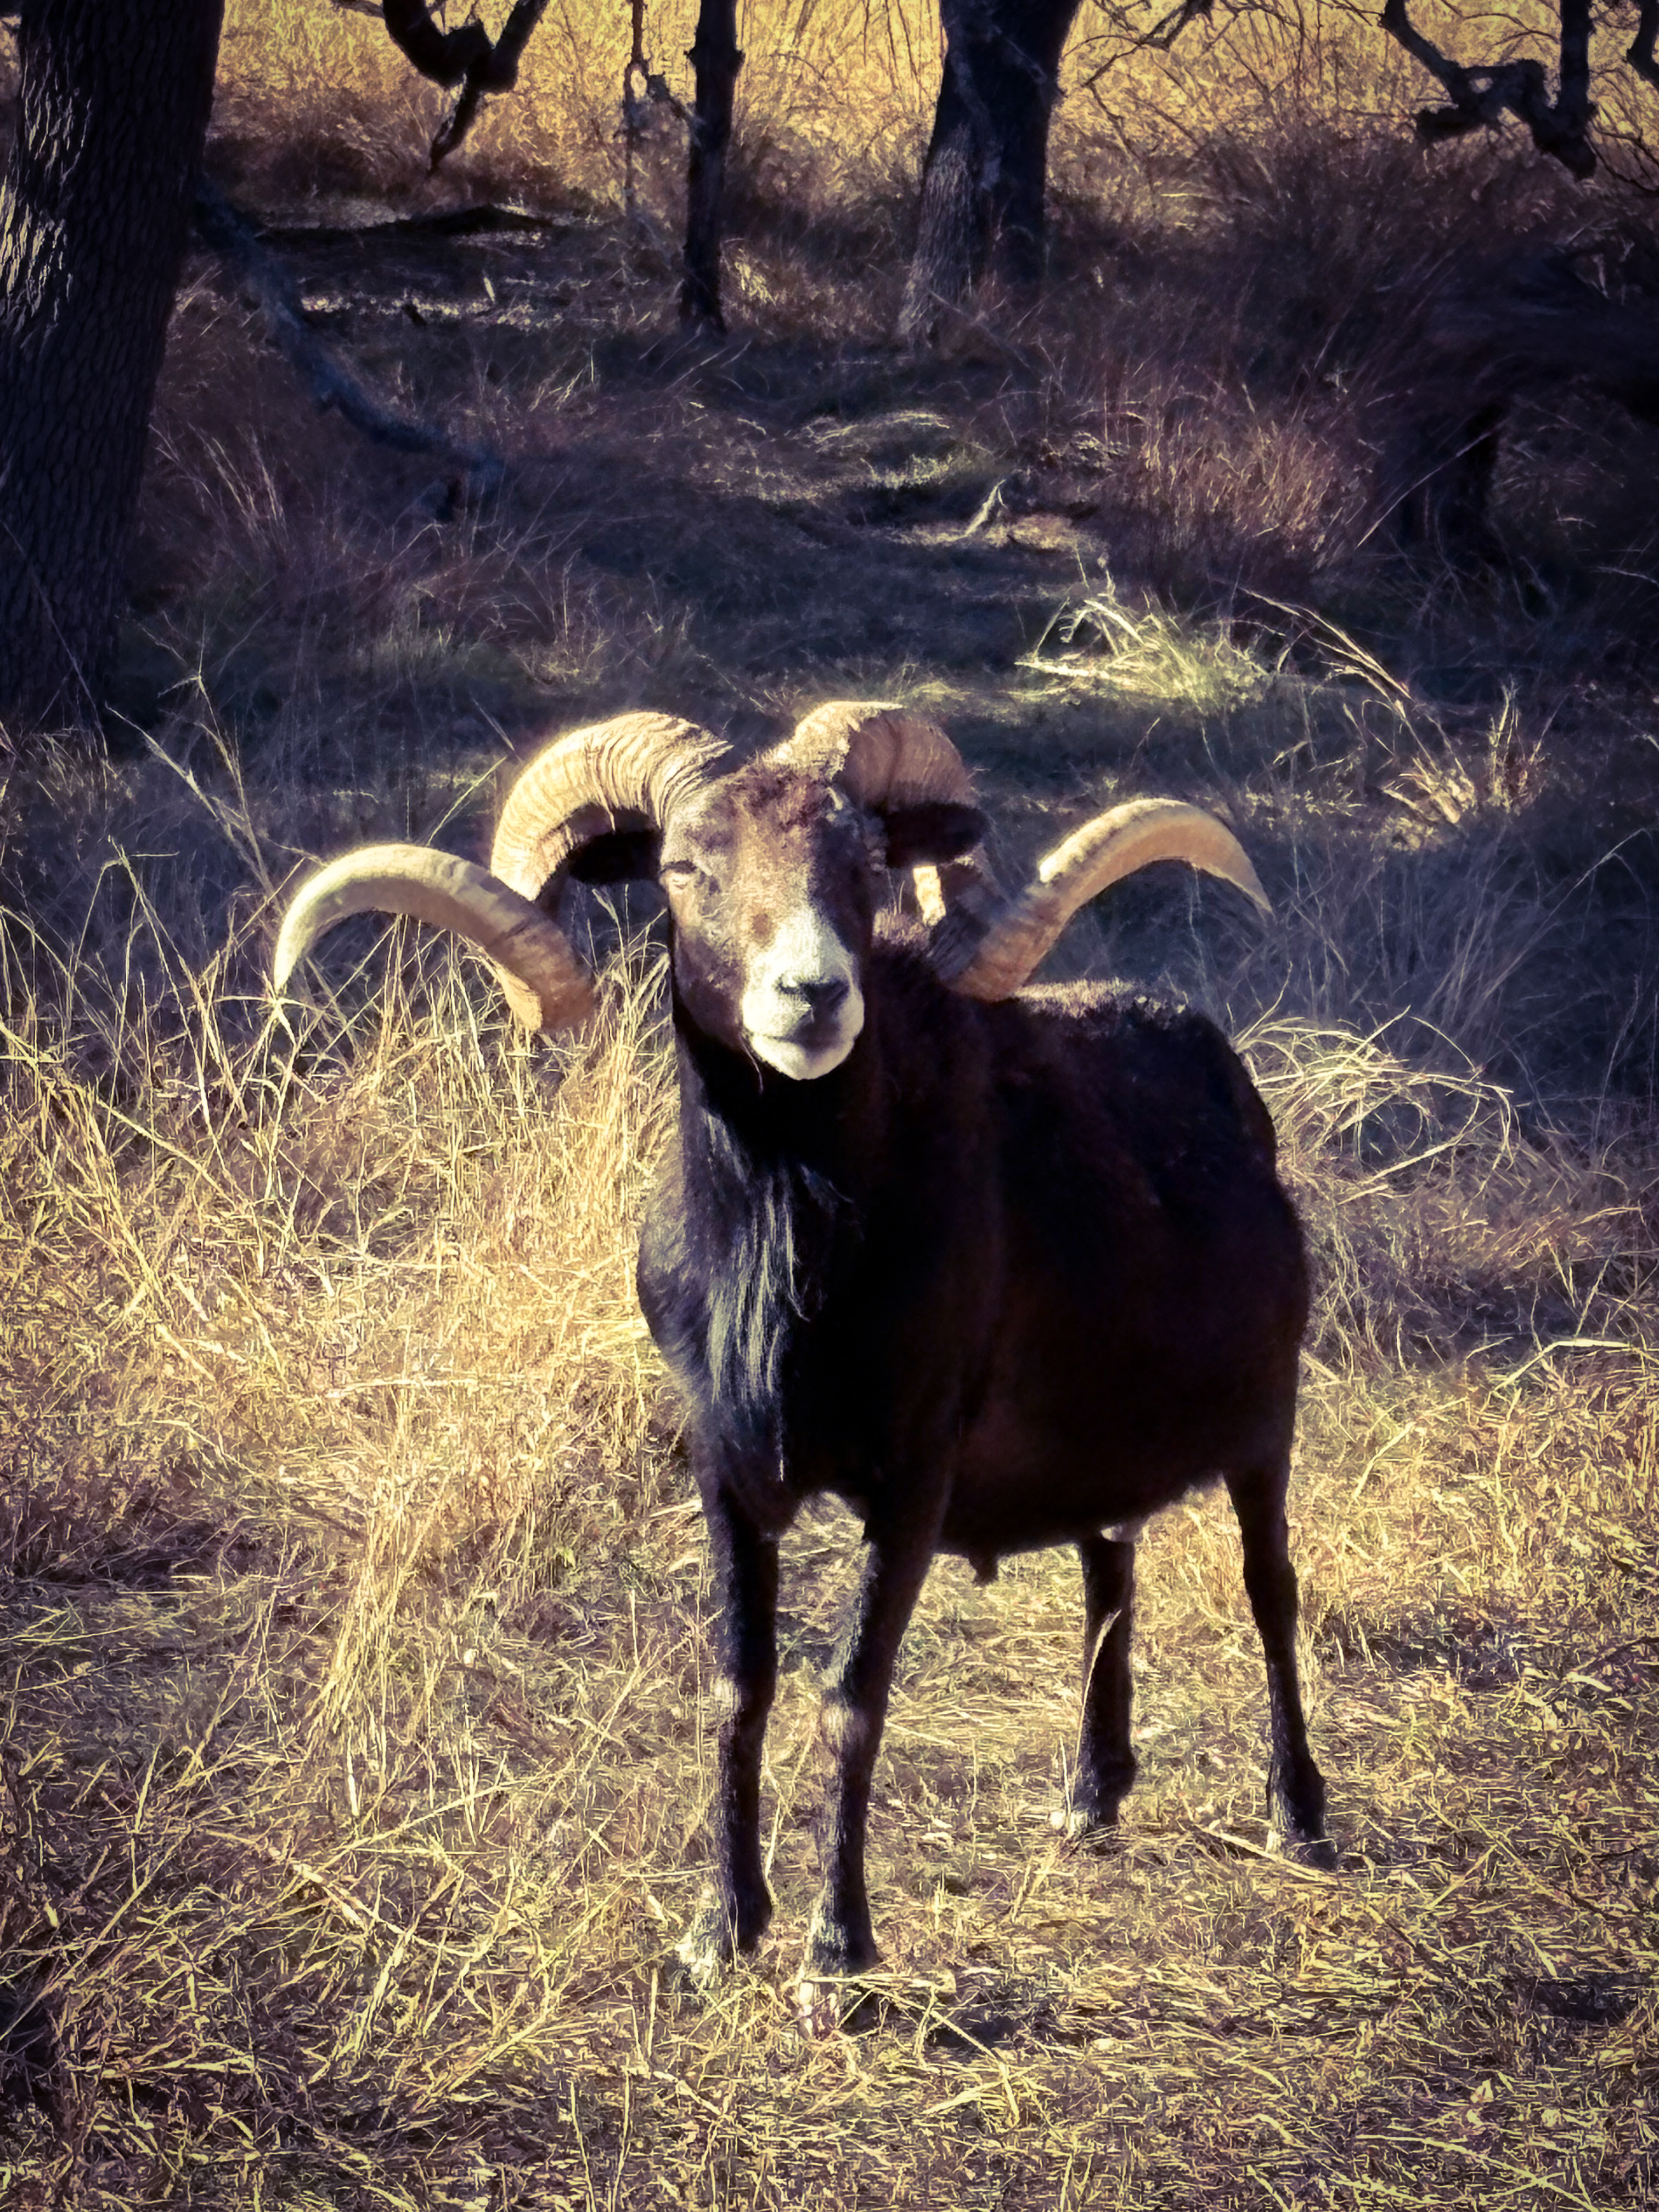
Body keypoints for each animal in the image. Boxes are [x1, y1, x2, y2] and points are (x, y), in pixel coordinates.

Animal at [274, 701, 1333, 2025]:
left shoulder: (912, 1487)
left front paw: (837, 1953)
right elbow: (742, 1689)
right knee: (1109, 1572)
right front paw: (719, 1930)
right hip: (1106, 1456)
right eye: (686, 867)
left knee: (1270, 1594)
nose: (813, 995)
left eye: (864, 863)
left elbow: (848, 1702)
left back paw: (1299, 1820)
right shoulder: (729, 1477)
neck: (794, 1272)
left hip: (1265, 1436)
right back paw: (1089, 1798)